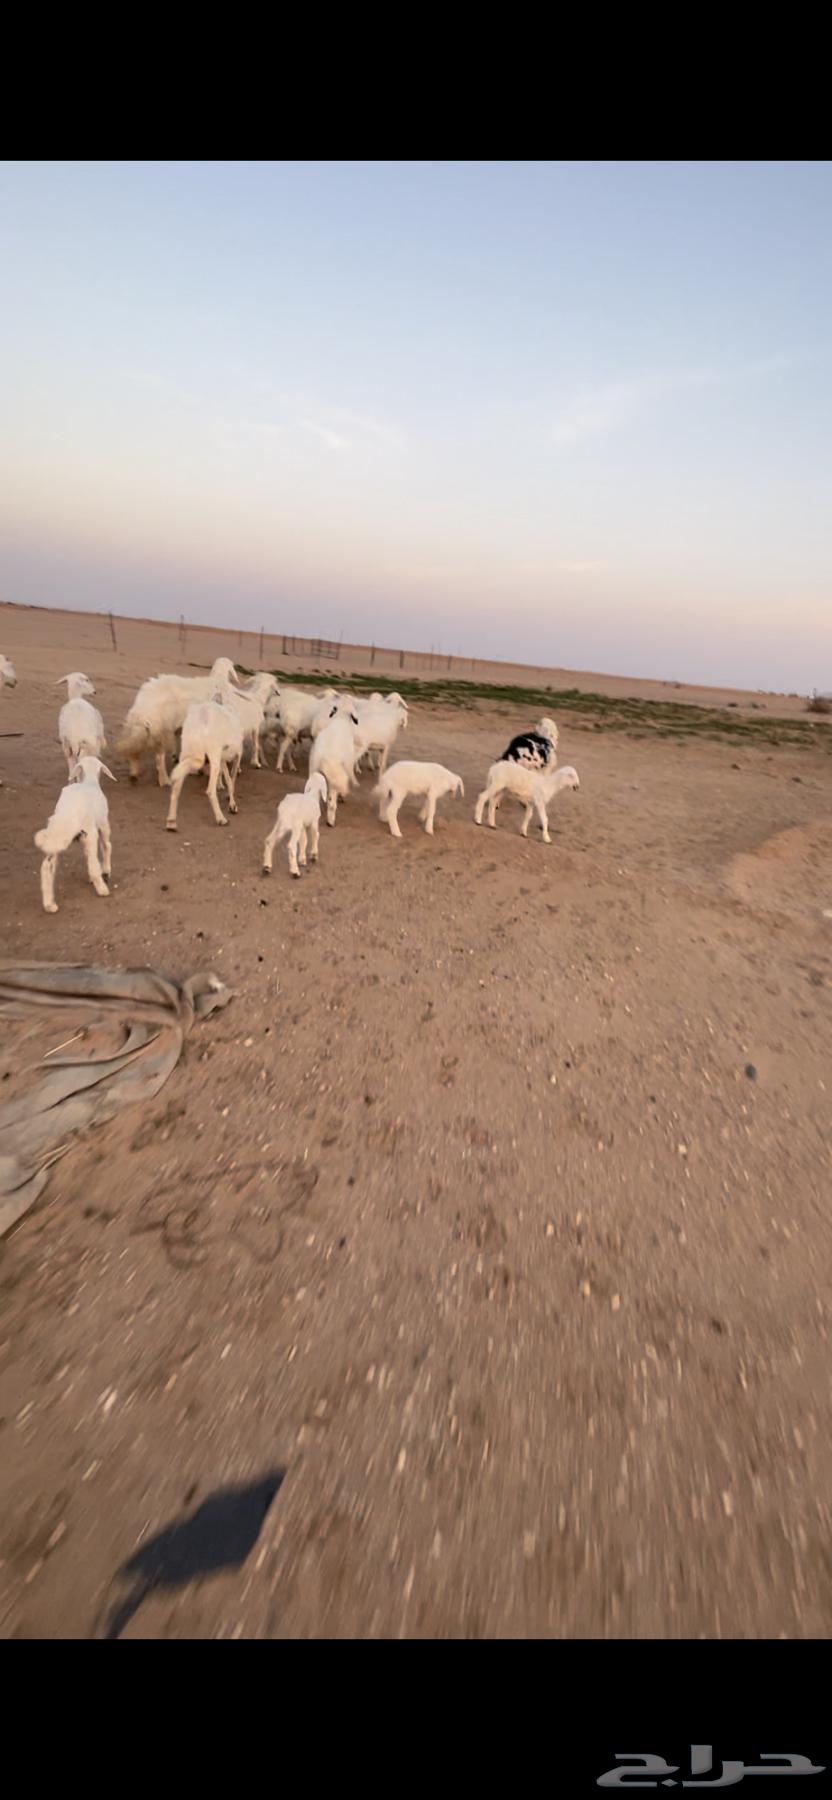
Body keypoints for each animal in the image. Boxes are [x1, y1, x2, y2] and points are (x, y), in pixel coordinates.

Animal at [34, 755, 116, 914]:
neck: (89, 781)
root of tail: (66, 815)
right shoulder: (102, 825)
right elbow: (106, 847)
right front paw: (106, 871)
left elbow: (88, 854)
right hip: (92, 832)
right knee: (96, 858)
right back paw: (102, 888)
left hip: (55, 840)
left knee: (46, 867)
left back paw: (49, 904)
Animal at [116, 656, 243, 786]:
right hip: (161, 728)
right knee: (159, 757)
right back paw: (164, 780)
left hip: (141, 728)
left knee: (134, 750)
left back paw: (134, 773)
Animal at [165, 682, 249, 831]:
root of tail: (200, 722)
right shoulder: (236, 755)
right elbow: (232, 779)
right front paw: (232, 805)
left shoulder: (223, 758)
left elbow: (228, 778)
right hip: (213, 755)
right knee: (210, 790)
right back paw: (221, 819)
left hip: (188, 752)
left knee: (177, 786)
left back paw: (171, 822)